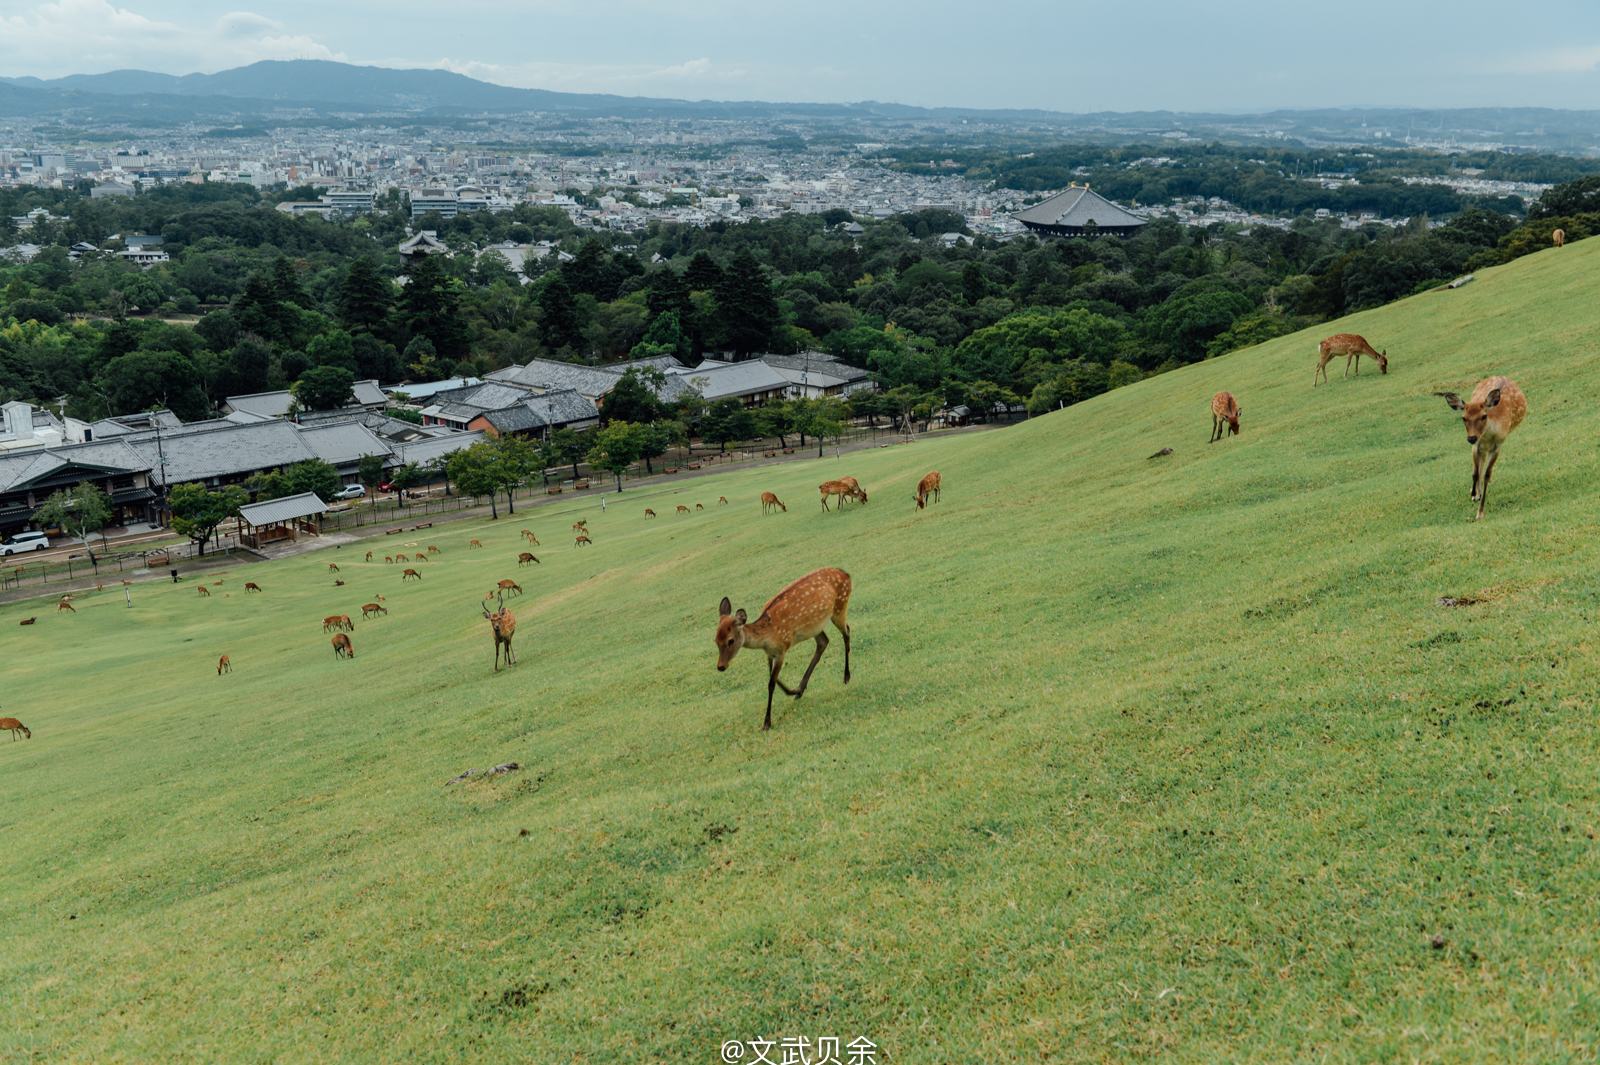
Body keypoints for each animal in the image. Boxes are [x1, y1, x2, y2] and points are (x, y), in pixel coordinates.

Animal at [720, 562, 857, 729]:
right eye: (715, 639)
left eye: (730, 640)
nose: (721, 666)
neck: (767, 636)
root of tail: (847, 576)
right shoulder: (770, 653)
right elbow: (772, 677)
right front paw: (793, 690)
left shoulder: (781, 649)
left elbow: (771, 683)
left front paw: (767, 723)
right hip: (815, 626)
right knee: (824, 642)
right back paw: (800, 690)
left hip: (839, 607)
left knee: (846, 632)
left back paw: (846, 676)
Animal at [1433, 377, 1529, 518]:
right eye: (1463, 418)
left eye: (1484, 416)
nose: (1471, 438)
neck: (1488, 435)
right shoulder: (1476, 446)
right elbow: (1475, 473)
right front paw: (1474, 494)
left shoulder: (1498, 445)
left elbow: (1486, 475)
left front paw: (1480, 512)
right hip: (1481, 447)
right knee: (1480, 464)